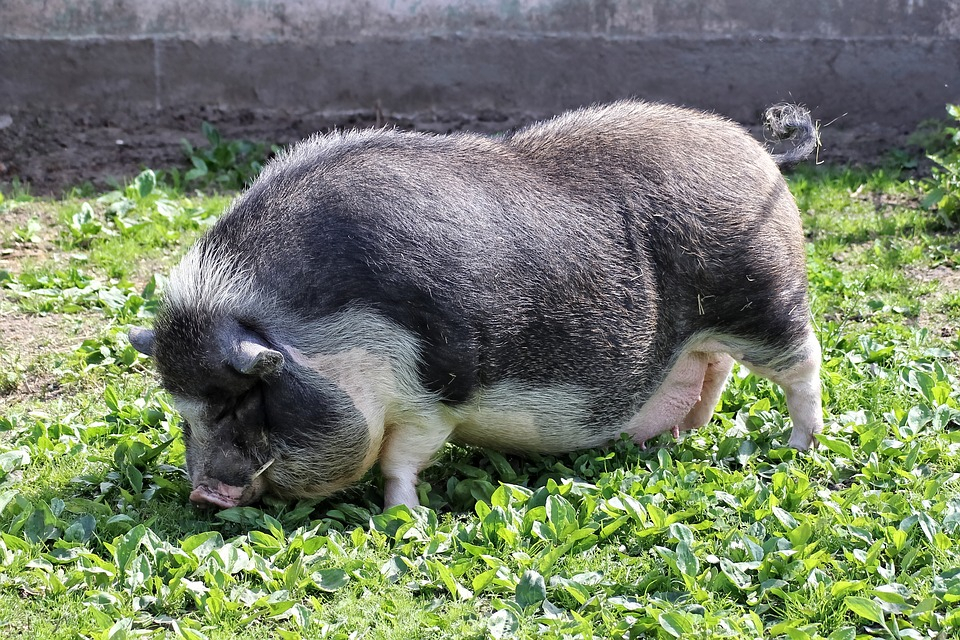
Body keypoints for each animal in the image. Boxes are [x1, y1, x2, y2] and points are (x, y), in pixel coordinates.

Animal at [129, 100, 824, 510]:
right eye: (184, 413)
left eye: (241, 399)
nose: (204, 495)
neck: (326, 336)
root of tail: (758, 149)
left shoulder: (437, 392)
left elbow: (400, 460)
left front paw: (405, 517)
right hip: (711, 329)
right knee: (712, 369)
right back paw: (680, 436)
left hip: (766, 297)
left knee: (803, 362)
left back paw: (800, 447)